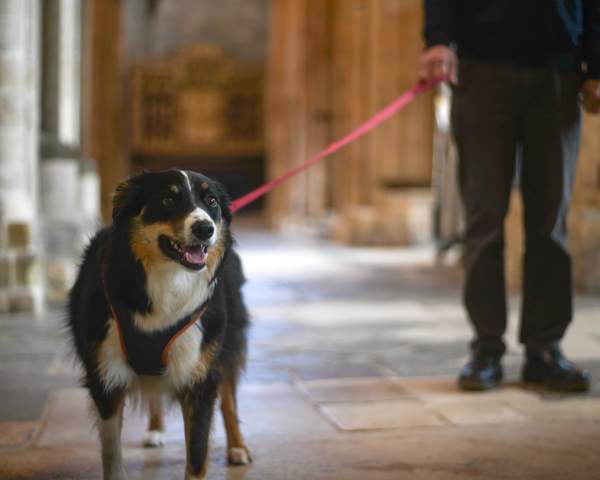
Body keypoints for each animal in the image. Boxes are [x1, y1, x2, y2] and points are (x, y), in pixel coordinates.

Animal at [67, 169, 251, 480]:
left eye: (211, 201)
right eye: (168, 199)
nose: (205, 229)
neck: (167, 279)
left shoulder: (200, 378)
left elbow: (197, 456)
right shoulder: (105, 377)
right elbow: (111, 452)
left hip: (228, 343)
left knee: (229, 398)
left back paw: (238, 447)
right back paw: (155, 430)